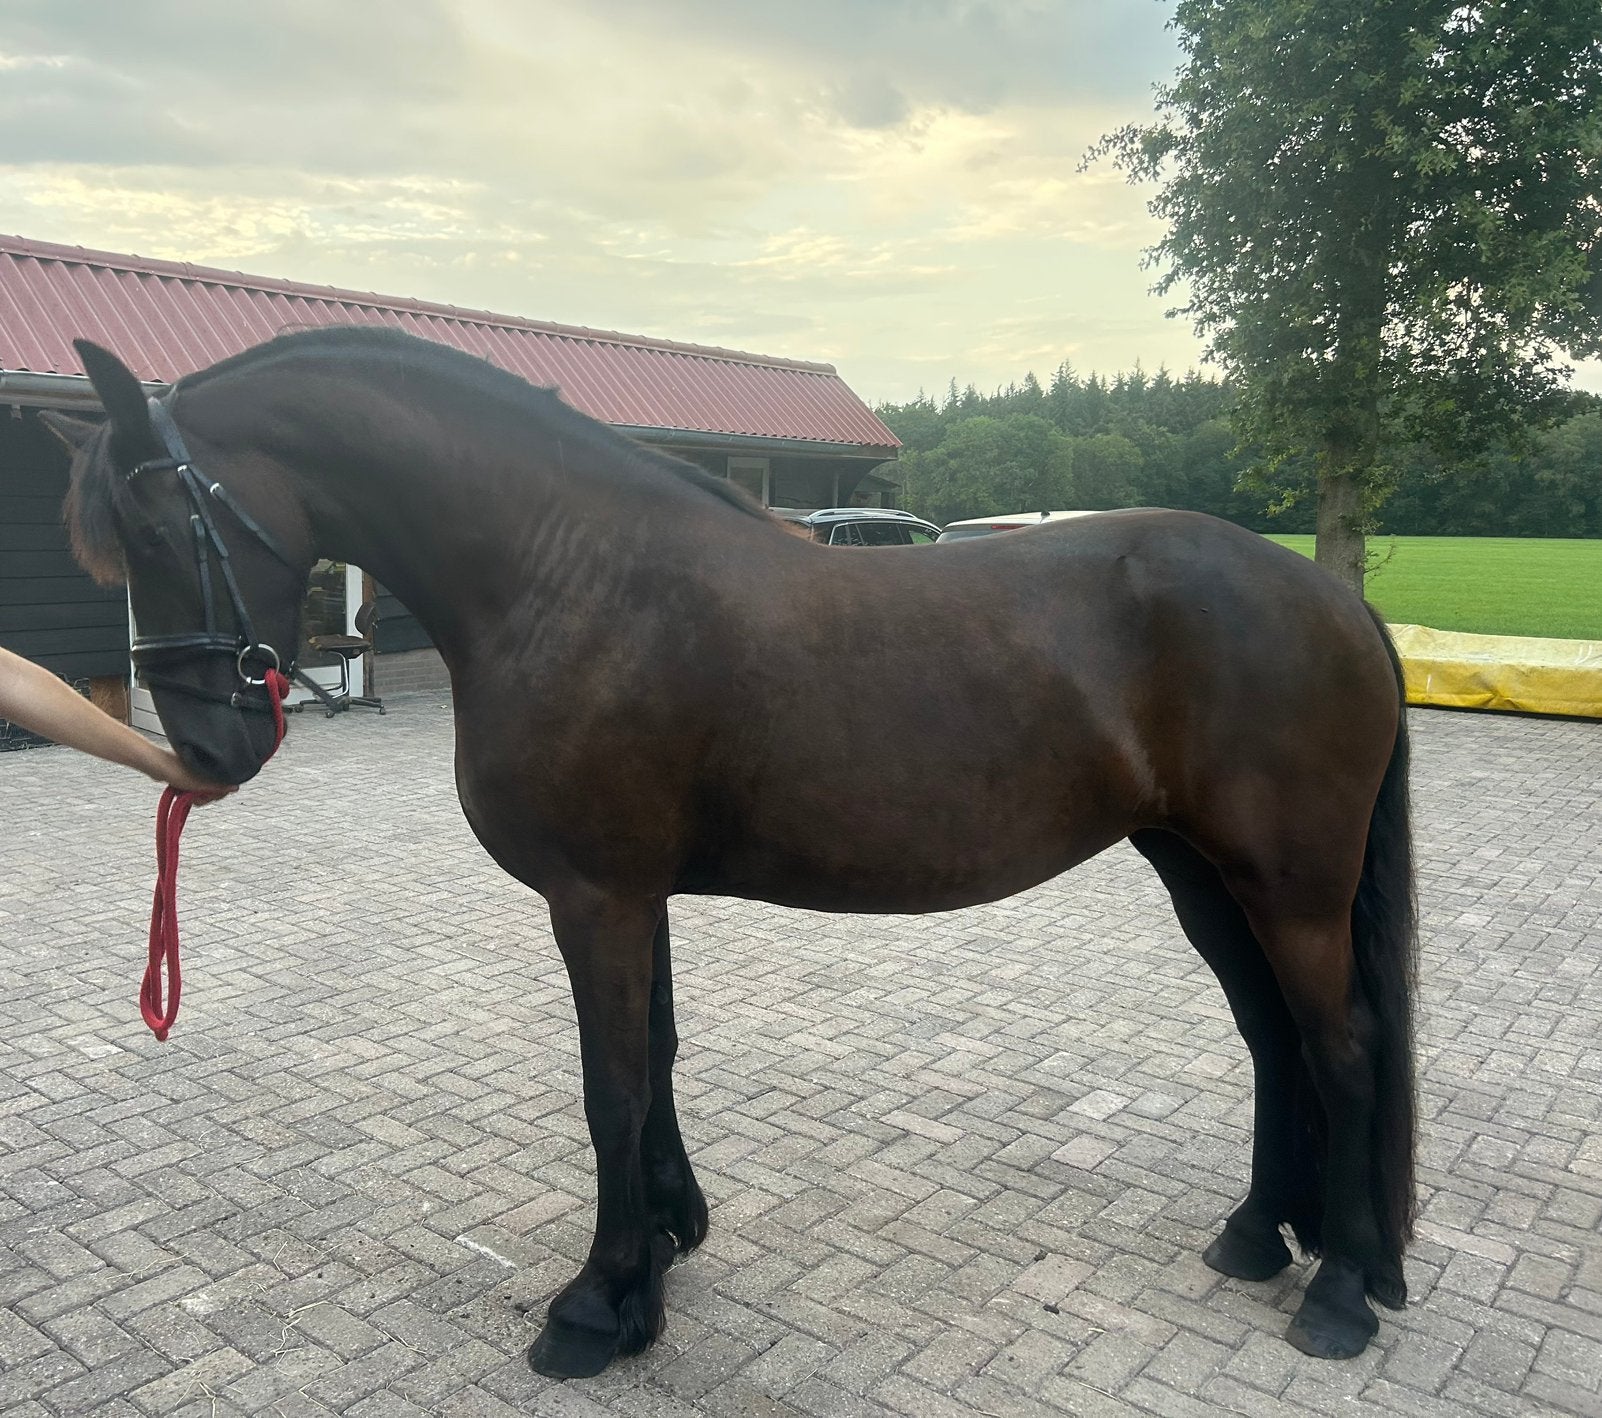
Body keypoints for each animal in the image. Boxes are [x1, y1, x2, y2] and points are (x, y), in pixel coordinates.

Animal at [48, 328, 1418, 1378]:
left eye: (162, 529)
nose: (209, 747)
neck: (567, 574)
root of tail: (1337, 602)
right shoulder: (632, 893)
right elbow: (654, 1059)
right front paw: (663, 1245)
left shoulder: (595, 894)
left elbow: (609, 1084)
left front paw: (596, 1305)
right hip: (1200, 870)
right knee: (1274, 1040)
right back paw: (1259, 1236)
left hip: (1288, 887)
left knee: (1343, 1047)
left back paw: (1341, 1290)